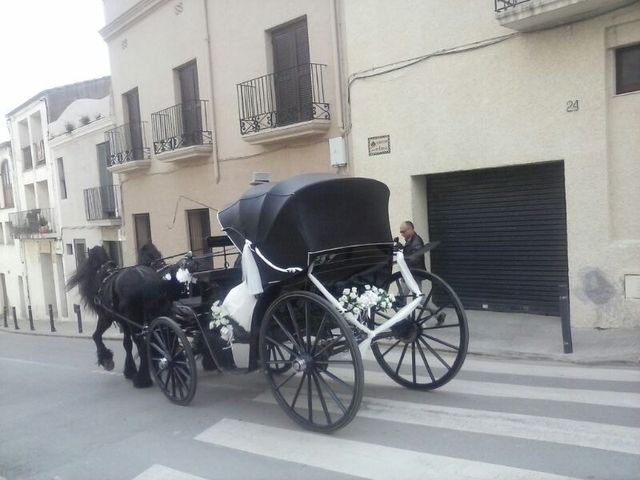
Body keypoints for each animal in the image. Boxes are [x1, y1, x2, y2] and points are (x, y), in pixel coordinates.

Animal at [67, 246, 170, 388]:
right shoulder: (123, 322)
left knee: (142, 344)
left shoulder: (106, 318)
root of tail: (145, 280)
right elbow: (127, 343)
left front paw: (107, 360)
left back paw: (142, 379)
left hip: (133, 320)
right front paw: (130, 369)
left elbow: (96, 336)